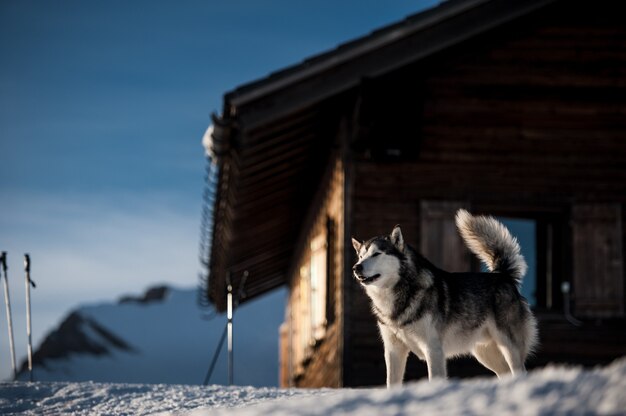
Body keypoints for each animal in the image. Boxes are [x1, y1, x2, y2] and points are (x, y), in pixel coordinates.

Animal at [352, 211, 536, 386]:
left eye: (376, 254)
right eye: (361, 256)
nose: (356, 267)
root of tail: (502, 275)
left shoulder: (433, 349)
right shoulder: (393, 351)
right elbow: (391, 383)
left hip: (509, 348)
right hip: (485, 353)